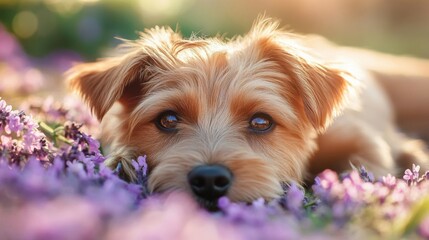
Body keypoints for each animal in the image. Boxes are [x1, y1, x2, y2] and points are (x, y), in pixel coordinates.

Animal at [67, 17, 428, 208]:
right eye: (168, 119)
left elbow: (365, 163)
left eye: (261, 121)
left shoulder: (356, 135)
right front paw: (123, 164)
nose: (209, 179)